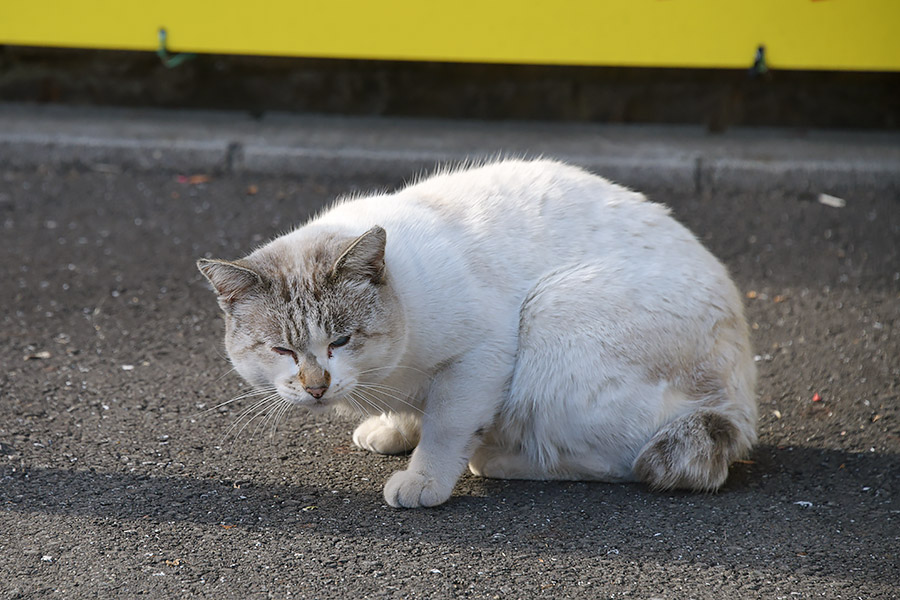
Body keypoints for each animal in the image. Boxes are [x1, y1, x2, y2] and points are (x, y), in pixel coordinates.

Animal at [200, 158, 756, 506]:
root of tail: (742, 400)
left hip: (550, 310)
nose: (317, 387)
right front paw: (393, 430)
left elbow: (446, 428)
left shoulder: (479, 357)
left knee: (624, 460)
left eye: (340, 341)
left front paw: (423, 478)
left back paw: (497, 459)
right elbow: (415, 416)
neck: (391, 376)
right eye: (281, 350)